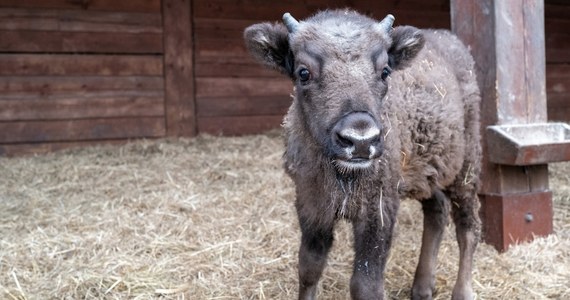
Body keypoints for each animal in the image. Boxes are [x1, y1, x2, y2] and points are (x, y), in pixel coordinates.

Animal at [243, 9, 480, 300]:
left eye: (385, 71)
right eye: (303, 72)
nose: (360, 141)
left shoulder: (377, 211)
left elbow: (365, 284)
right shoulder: (312, 207)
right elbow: (309, 267)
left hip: (465, 170)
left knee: (467, 226)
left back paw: (462, 292)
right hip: (427, 172)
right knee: (437, 210)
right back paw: (422, 287)